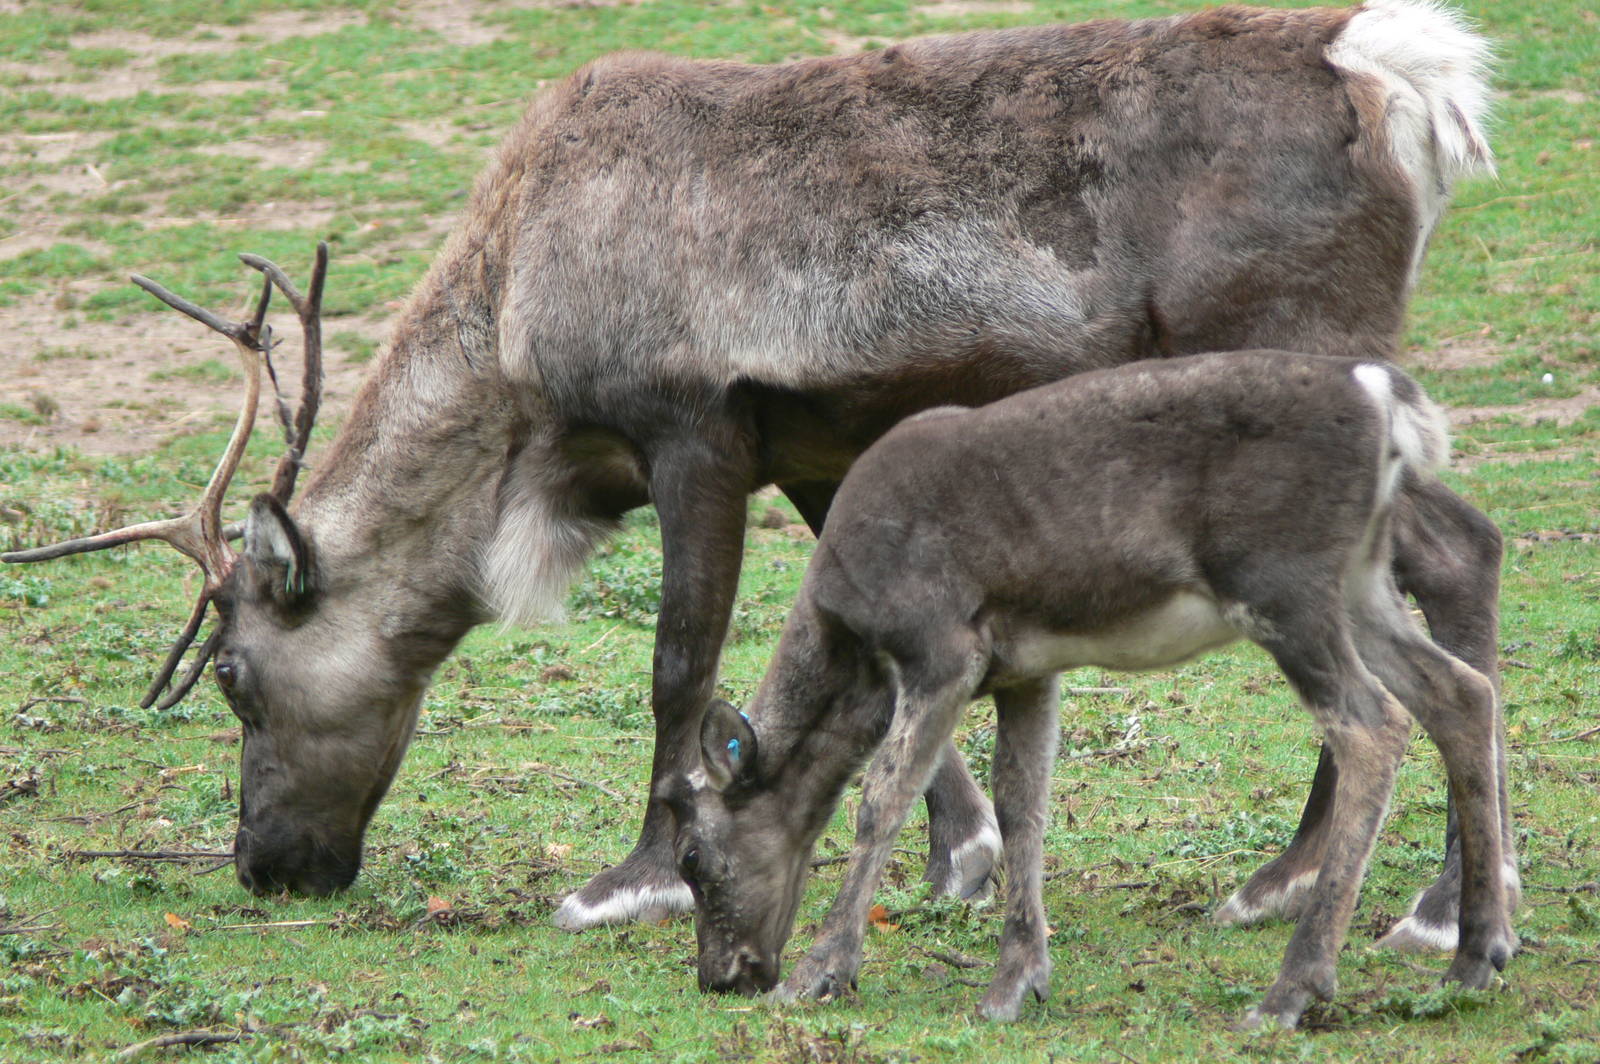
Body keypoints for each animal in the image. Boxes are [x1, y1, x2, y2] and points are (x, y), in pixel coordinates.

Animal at [3, 0, 1506, 952]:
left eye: (237, 676)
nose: (265, 868)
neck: (518, 353)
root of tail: (1397, 77)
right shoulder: (819, 450)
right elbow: (863, 651)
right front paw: (956, 855)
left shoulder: (695, 432)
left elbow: (681, 663)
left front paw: (632, 879)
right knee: (1445, 567)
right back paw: (1349, 887)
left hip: (1303, 367)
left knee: (1450, 563)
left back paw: (1381, 896)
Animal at [670, 351, 1517, 1028]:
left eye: (692, 859)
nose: (722, 977)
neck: (851, 637)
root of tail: (1387, 403)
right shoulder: (1025, 667)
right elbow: (1024, 800)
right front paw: (1015, 983)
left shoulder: (941, 645)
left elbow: (883, 798)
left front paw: (821, 972)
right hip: (1360, 583)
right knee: (1460, 693)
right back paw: (1475, 954)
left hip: (1285, 585)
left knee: (1375, 726)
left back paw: (1293, 990)